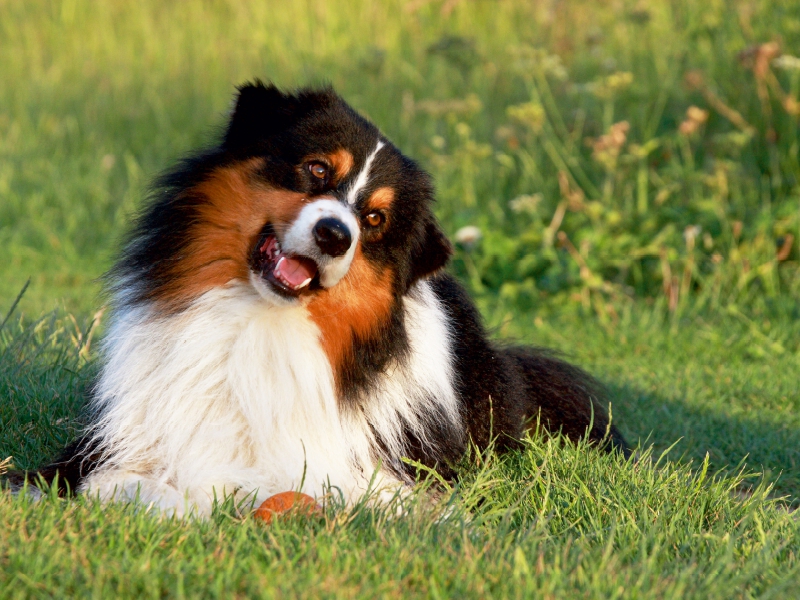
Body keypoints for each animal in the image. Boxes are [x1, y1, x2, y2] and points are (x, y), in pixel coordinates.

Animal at [7, 83, 632, 516]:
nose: (336, 235)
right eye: (315, 168)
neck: (258, 320)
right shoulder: (107, 448)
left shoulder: (374, 472)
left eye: (375, 220)